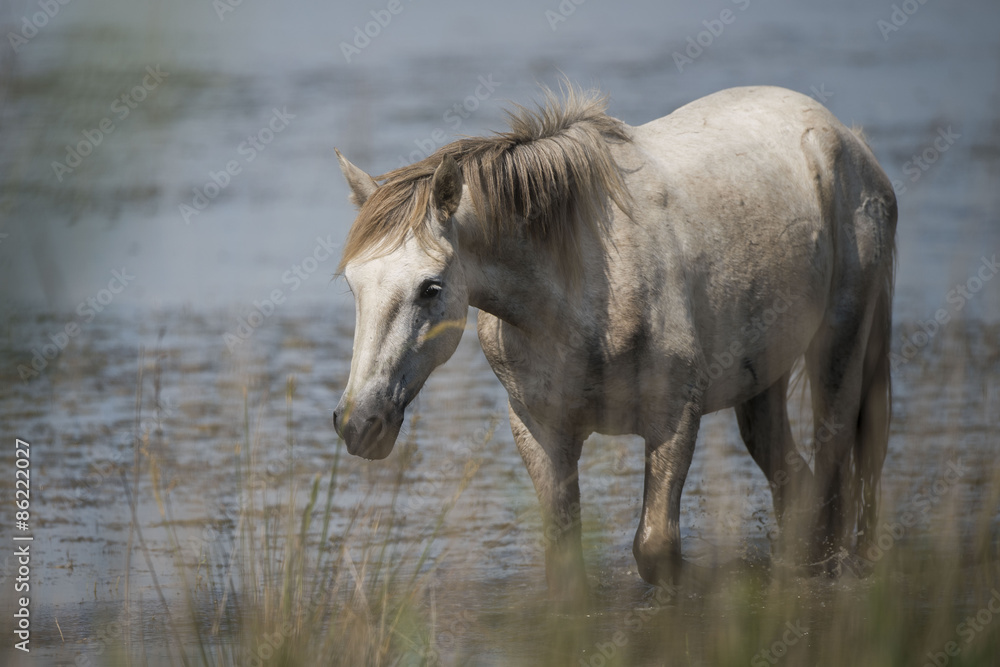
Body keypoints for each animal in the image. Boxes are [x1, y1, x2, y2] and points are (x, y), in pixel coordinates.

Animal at [332, 84, 896, 599]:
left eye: (430, 288)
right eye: (352, 285)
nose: (359, 424)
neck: (586, 285)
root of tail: (850, 139)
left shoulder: (675, 416)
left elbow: (656, 547)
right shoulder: (540, 429)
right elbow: (566, 562)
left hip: (840, 347)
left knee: (837, 461)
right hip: (763, 373)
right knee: (793, 477)